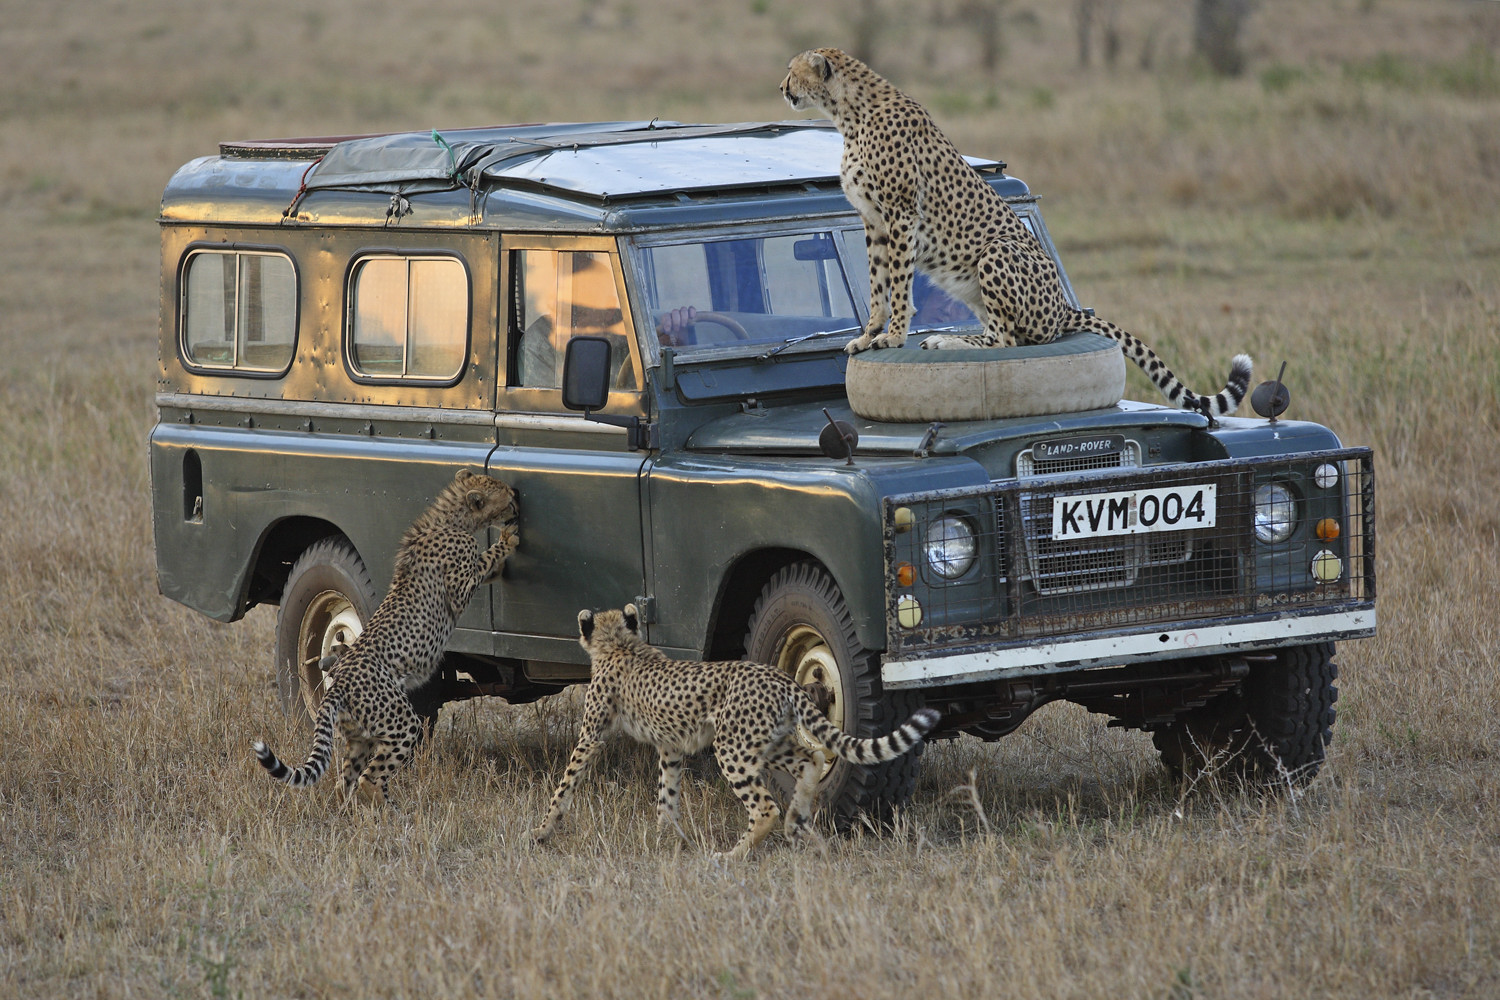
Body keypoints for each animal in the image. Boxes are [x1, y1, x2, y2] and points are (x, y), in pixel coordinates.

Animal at [252, 473, 522, 809]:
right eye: (507, 498)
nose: (517, 502)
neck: (450, 519)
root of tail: (339, 680)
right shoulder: (459, 589)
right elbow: (482, 562)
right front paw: (506, 541)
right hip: (402, 722)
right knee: (369, 777)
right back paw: (391, 810)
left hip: (359, 735)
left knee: (345, 779)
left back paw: (353, 811)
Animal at [534, 605, 936, 863]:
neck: (619, 643)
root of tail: (781, 676)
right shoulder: (671, 746)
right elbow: (667, 792)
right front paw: (664, 835)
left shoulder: (592, 735)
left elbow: (565, 783)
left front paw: (540, 831)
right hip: (768, 742)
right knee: (813, 758)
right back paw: (796, 821)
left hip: (732, 747)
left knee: (765, 807)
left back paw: (733, 854)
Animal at [780, 46, 1248, 419]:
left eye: (791, 70)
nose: (781, 87)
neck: (849, 113)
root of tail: (1064, 308)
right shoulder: (874, 221)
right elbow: (877, 284)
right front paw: (868, 335)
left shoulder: (900, 215)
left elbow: (897, 283)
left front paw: (894, 336)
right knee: (1009, 335)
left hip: (997, 251)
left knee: (1007, 340)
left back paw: (944, 343)